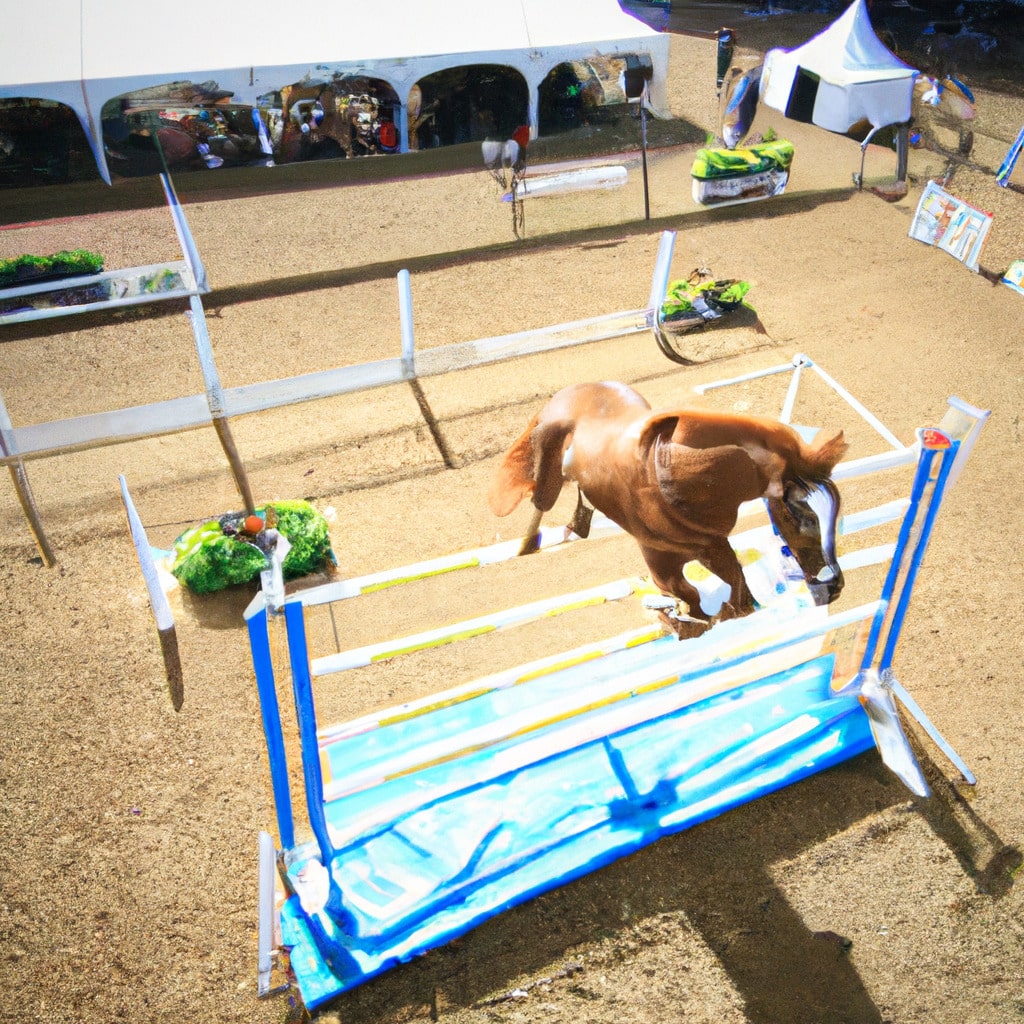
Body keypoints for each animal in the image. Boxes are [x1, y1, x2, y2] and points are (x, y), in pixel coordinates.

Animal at [487, 380, 847, 626]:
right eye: (802, 516)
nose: (832, 585)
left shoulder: (708, 547)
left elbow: (731, 590)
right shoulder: (664, 555)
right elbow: (695, 595)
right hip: (548, 463)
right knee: (541, 500)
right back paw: (529, 544)